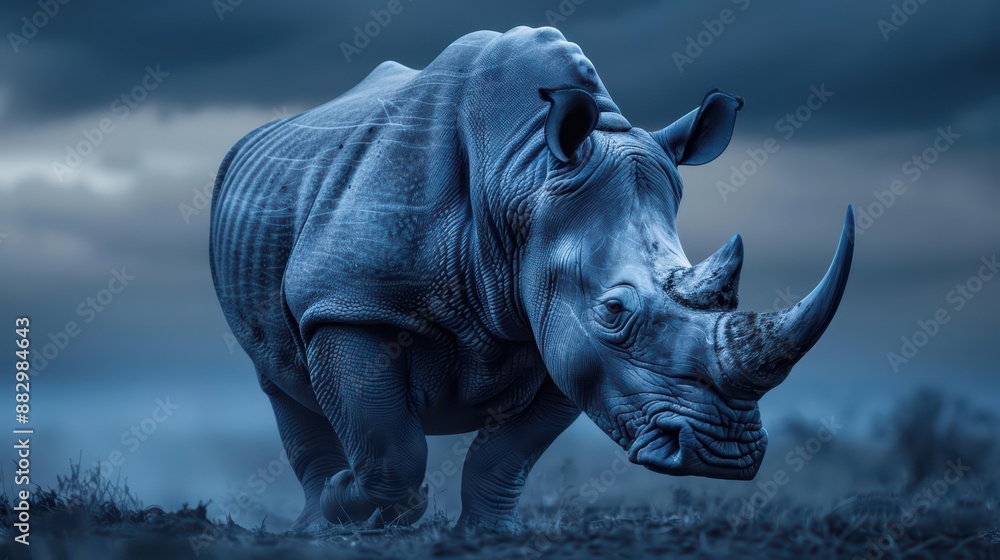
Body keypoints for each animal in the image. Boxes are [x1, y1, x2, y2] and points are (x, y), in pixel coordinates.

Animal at [210, 26, 854, 532]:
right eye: (615, 311)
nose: (725, 452)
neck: (523, 177)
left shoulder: (564, 335)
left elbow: (508, 455)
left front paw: (487, 535)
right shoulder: (347, 303)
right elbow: (392, 449)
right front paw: (352, 504)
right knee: (279, 381)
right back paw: (315, 521)